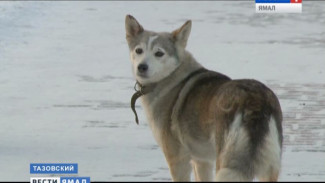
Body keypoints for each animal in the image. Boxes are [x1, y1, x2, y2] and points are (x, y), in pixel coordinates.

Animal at [124, 14, 280, 182]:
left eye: (159, 53)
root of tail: (255, 100)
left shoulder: (178, 160)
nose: (141, 67)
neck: (172, 77)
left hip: (226, 163)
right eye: (138, 50)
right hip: (269, 166)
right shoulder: (201, 160)